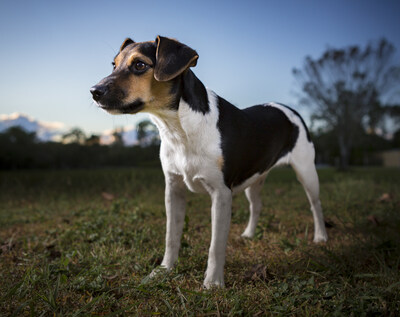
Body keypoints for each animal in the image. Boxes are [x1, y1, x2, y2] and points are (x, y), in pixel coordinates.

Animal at [91, 35, 328, 288]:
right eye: (114, 65)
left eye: (139, 65)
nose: (94, 91)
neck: (179, 128)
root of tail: (289, 108)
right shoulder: (173, 189)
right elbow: (171, 236)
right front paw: (164, 270)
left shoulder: (221, 194)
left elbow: (216, 246)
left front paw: (213, 283)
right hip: (255, 179)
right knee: (257, 205)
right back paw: (249, 234)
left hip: (306, 171)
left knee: (316, 204)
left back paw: (321, 236)